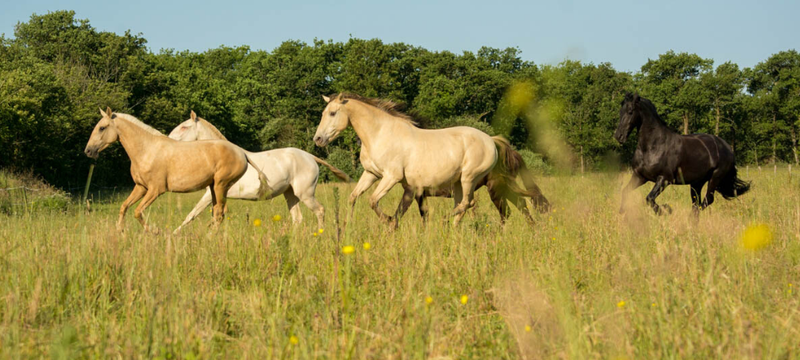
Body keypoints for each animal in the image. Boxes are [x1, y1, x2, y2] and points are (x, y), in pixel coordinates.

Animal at [84, 107, 268, 233]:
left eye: (102, 128)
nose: (88, 151)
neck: (147, 150)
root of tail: (242, 153)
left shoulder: (155, 190)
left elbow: (137, 212)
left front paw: (155, 232)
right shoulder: (141, 187)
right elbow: (124, 207)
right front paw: (120, 232)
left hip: (220, 185)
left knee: (218, 214)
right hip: (213, 188)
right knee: (217, 214)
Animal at [169, 111, 350, 232]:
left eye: (184, 127)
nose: (169, 140)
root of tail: (310, 157)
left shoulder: (210, 194)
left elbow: (192, 215)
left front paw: (174, 234)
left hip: (305, 194)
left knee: (319, 211)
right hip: (290, 194)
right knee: (297, 218)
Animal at [310, 94, 512, 226]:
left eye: (333, 113)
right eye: (323, 113)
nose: (318, 139)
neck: (379, 134)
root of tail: (491, 140)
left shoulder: (392, 177)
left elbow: (373, 200)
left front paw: (387, 220)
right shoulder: (371, 174)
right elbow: (353, 197)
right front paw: (349, 224)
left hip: (469, 178)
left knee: (466, 204)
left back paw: (443, 220)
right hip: (457, 183)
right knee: (462, 205)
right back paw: (452, 228)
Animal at [612, 94, 752, 215]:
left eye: (630, 111)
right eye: (620, 112)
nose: (619, 136)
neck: (652, 146)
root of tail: (727, 148)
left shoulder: (664, 179)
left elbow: (650, 198)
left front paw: (665, 210)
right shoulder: (639, 176)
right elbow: (625, 192)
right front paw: (623, 212)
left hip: (715, 178)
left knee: (706, 201)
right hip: (697, 183)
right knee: (696, 203)